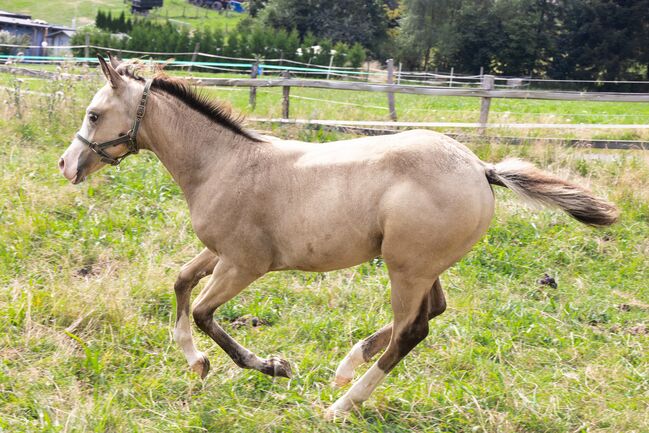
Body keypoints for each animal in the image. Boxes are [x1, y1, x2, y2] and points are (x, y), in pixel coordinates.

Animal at [57, 55, 616, 416]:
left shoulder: (244, 264)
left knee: (412, 331)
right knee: (432, 312)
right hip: (421, 267)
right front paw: (196, 362)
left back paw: (341, 404)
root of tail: (481, 168)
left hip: (405, 269)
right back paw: (347, 367)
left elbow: (204, 312)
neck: (224, 164)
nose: (66, 164)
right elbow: (180, 282)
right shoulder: (220, 252)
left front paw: (272, 366)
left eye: (94, 114)